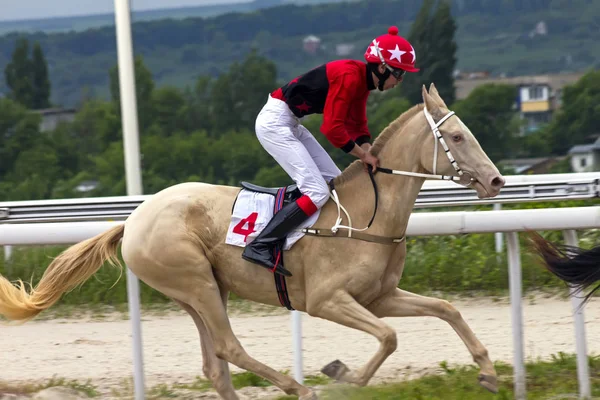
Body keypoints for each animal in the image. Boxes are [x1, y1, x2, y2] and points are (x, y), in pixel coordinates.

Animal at [0, 83, 506, 398]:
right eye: (457, 136)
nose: (497, 181)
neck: (368, 216)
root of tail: (133, 219)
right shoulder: (327, 300)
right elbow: (389, 337)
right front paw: (342, 376)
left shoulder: (378, 296)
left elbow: (445, 310)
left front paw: (488, 372)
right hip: (196, 282)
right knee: (228, 349)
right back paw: (300, 387)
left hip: (201, 291)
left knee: (216, 367)